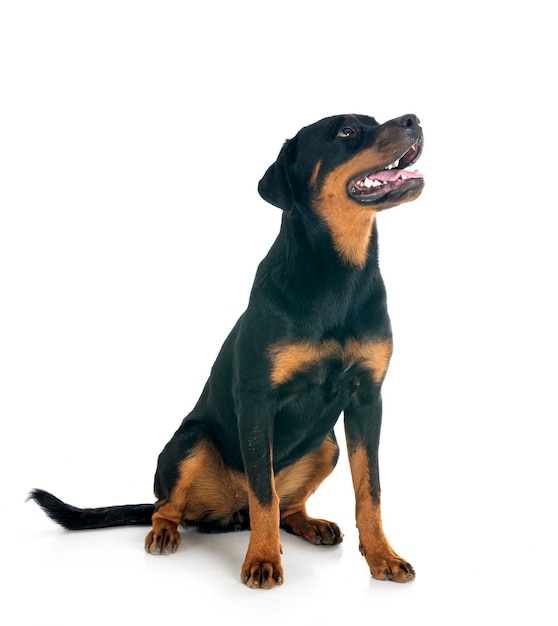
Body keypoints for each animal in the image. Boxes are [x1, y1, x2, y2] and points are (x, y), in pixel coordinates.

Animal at [29, 112, 424, 584]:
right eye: (346, 132)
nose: (413, 119)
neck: (337, 273)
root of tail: (229, 510)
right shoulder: (257, 400)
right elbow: (264, 495)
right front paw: (263, 559)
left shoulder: (367, 399)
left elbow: (370, 490)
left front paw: (383, 556)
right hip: (191, 441)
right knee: (171, 505)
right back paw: (166, 533)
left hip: (326, 445)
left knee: (286, 504)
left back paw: (310, 524)